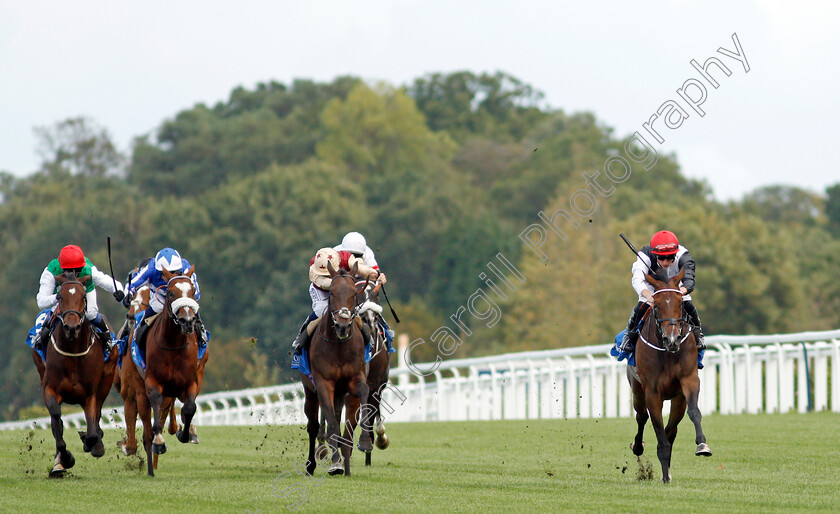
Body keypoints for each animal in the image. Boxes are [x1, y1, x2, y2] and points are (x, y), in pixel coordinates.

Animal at [33, 272, 118, 476]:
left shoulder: (90, 393)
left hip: (107, 379)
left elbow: (93, 429)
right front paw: (65, 459)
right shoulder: (50, 389)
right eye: (60, 297)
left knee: (97, 414)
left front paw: (93, 443)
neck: (72, 353)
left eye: (83, 297)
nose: (71, 328)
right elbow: (56, 420)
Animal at [138, 266, 208, 474]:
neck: (173, 345)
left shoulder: (190, 382)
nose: (187, 321)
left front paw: (185, 433)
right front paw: (159, 441)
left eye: (192, 292)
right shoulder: (152, 382)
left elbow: (190, 407)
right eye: (170, 293)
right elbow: (155, 405)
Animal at [298, 262, 370, 474]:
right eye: (331, 293)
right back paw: (313, 464)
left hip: (340, 392)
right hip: (310, 390)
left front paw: (365, 440)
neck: (338, 344)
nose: (342, 325)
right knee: (313, 425)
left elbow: (364, 392)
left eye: (354, 293)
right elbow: (330, 424)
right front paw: (335, 463)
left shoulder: (354, 378)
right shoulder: (323, 383)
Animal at [632, 266, 708, 482]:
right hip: (636, 388)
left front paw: (702, 445)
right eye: (656, 305)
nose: (672, 339)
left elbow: (694, 412)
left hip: (677, 399)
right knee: (641, 416)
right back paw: (638, 447)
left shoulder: (688, 381)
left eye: (680, 303)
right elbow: (657, 425)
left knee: (671, 429)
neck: (668, 352)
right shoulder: (652, 392)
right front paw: (665, 474)